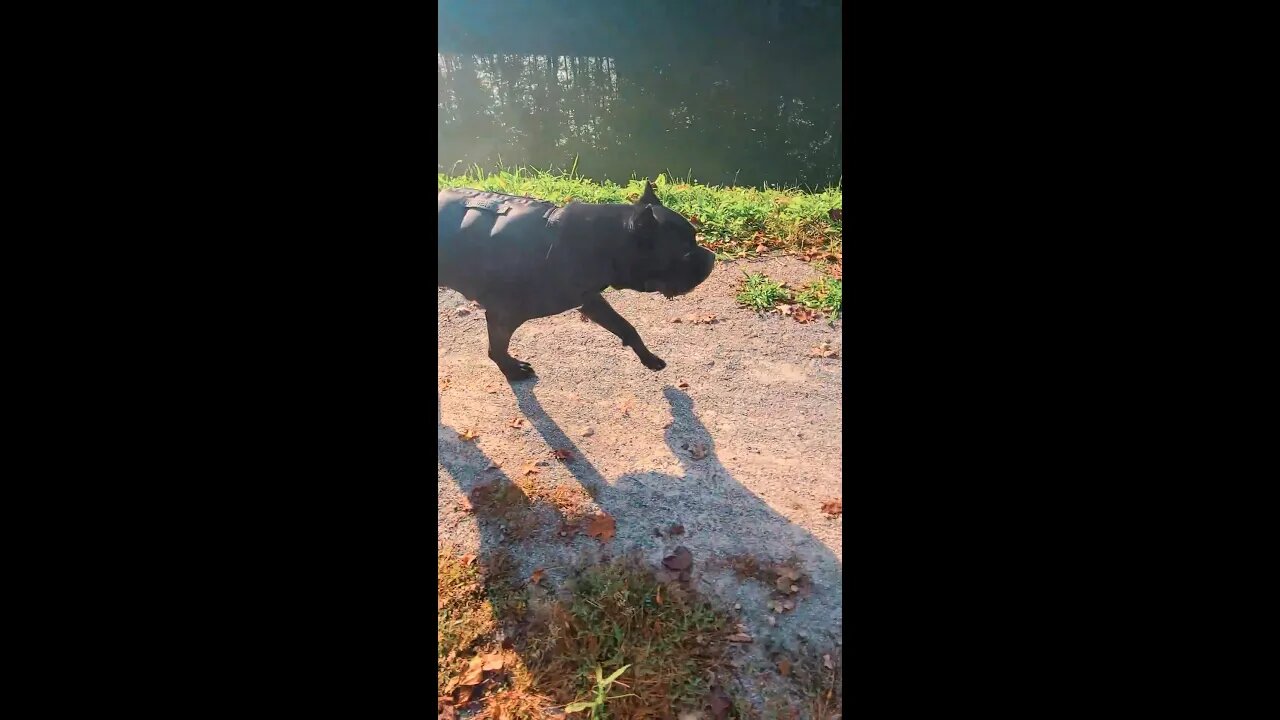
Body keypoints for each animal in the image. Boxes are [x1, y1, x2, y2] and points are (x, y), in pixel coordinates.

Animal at [437, 181, 716, 379]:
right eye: (685, 250)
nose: (712, 257)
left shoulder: (590, 299)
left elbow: (626, 326)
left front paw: (648, 358)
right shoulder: (502, 316)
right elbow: (497, 349)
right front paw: (513, 371)